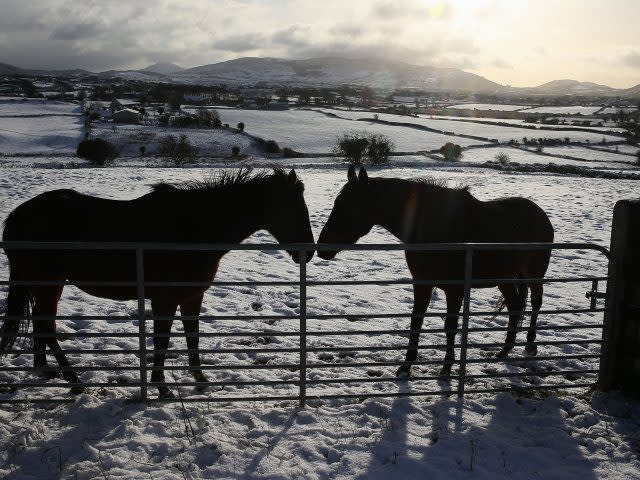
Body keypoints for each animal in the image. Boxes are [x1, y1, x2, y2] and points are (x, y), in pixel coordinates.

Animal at [1, 167, 316, 396]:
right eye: (292, 209)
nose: (308, 252)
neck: (193, 228)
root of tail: (16, 217)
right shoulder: (165, 299)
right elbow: (162, 341)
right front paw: (161, 386)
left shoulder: (192, 297)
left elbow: (192, 337)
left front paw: (200, 380)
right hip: (48, 283)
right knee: (47, 326)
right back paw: (73, 380)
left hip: (46, 285)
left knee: (41, 323)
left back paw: (46, 371)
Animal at [318, 167, 552, 376]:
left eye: (350, 206)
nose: (322, 249)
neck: (434, 229)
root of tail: (540, 214)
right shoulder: (422, 283)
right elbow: (416, 322)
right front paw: (406, 366)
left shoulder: (455, 290)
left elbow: (450, 326)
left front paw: (447, 367)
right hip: (504, 277)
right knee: (515, 306)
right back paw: (505, 350)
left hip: (534, 274)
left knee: (536, 302)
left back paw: (530, 345)